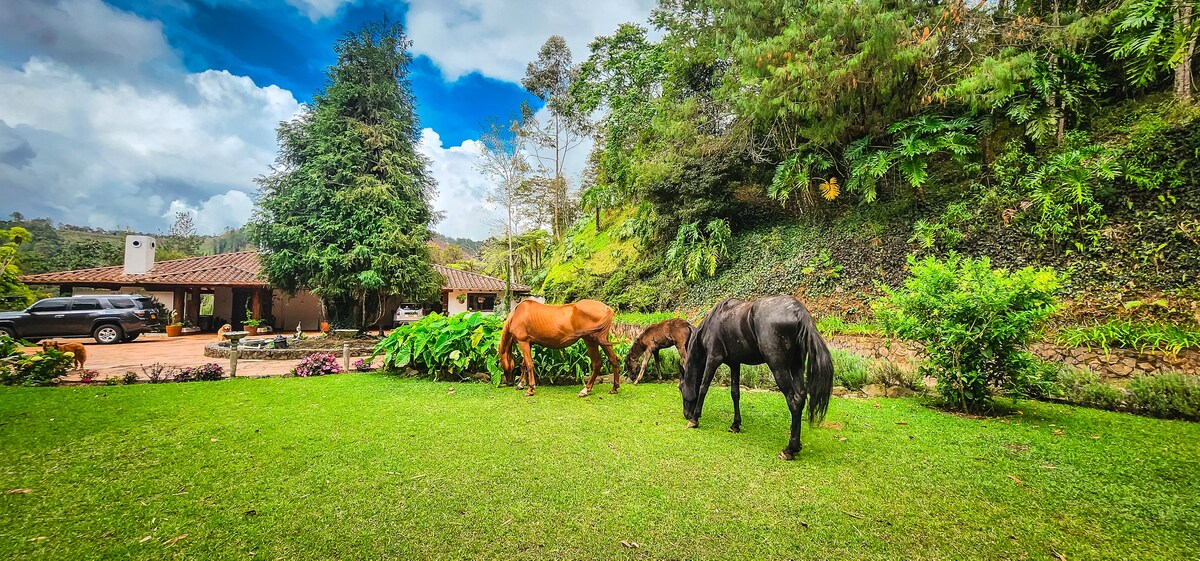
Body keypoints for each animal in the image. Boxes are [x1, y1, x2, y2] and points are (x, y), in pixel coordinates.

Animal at [686, 296, 835, 457]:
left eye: (681, 388)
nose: (686, 414)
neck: (712, 322)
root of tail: (798, 311)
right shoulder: (735, 364)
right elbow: (735, 393)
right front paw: (735, 424)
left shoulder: (713, 358)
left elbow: (703, 387)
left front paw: (694, 419)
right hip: (796, 365)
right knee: (800, 396)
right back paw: (796, 443)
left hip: (779, 368)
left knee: (793, 401)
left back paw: (790, 448)